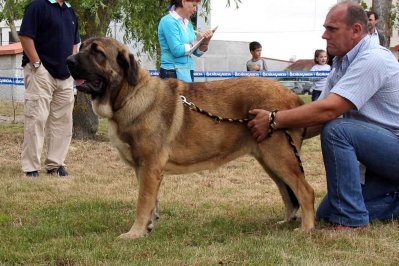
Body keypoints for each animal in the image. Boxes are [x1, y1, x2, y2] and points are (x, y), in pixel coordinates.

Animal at [66, 37, 316, 239]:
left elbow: (142, 202)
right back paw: (286, 222)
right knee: (287, 193)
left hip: (280, 156)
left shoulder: (149, 167)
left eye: (97, 52)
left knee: (305, 190)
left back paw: (306, 228)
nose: (68, 60)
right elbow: (152, 203)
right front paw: (146, 228)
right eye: (83, 46)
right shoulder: (145, 169)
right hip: (269, 160)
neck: (129, 95)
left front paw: (134, 233)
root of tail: (294, 97)